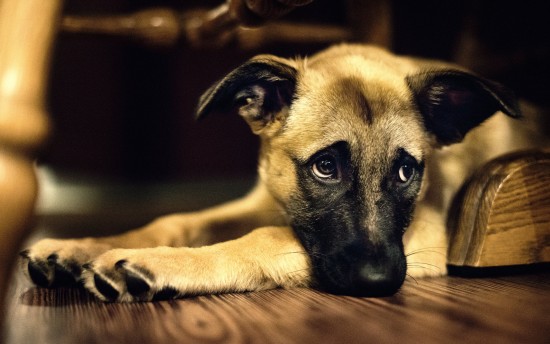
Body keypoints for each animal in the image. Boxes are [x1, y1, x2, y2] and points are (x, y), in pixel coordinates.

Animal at [18, 43, 548, 300]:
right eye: (325, 167)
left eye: (405, 172)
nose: (378, 282)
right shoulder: (265, 200)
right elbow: (177, 220)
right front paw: (82, 246)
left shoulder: (427, 237)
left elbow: (264, 240)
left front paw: (159, 263)